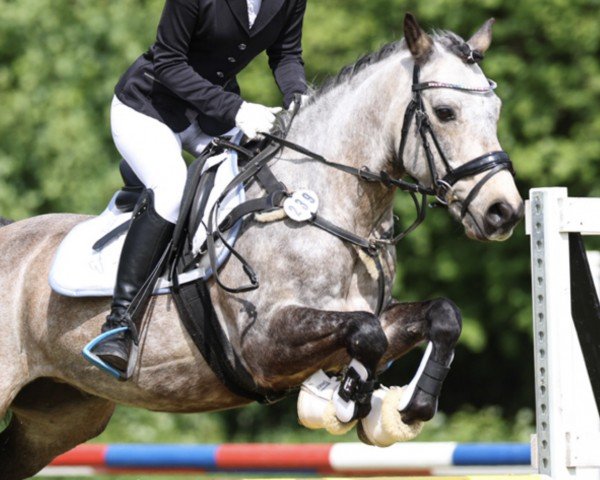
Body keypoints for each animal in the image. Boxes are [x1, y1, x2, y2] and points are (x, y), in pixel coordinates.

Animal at [0, 13, 520, 478]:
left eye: (495, 111)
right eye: (445, 112)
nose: (504, 211)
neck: (328, 203)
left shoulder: (366, 317)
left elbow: (440, 316)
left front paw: (404, 407)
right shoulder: (263, 344)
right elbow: (366, 334)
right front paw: (344, 400)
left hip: (60, 414)